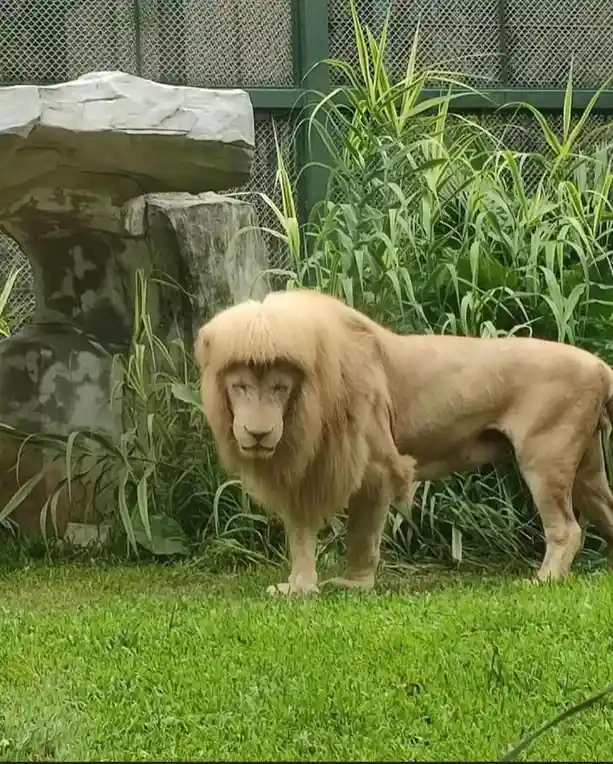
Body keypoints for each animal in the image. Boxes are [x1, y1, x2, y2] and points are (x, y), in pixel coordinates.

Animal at [194, 290, 416, 596]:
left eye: (279, 388)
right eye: (240, 387)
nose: (258, 434)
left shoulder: (377, 464)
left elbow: (364, 532)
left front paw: (355, 583)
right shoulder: (299, 473)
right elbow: (300, 533)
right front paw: (298, 586)